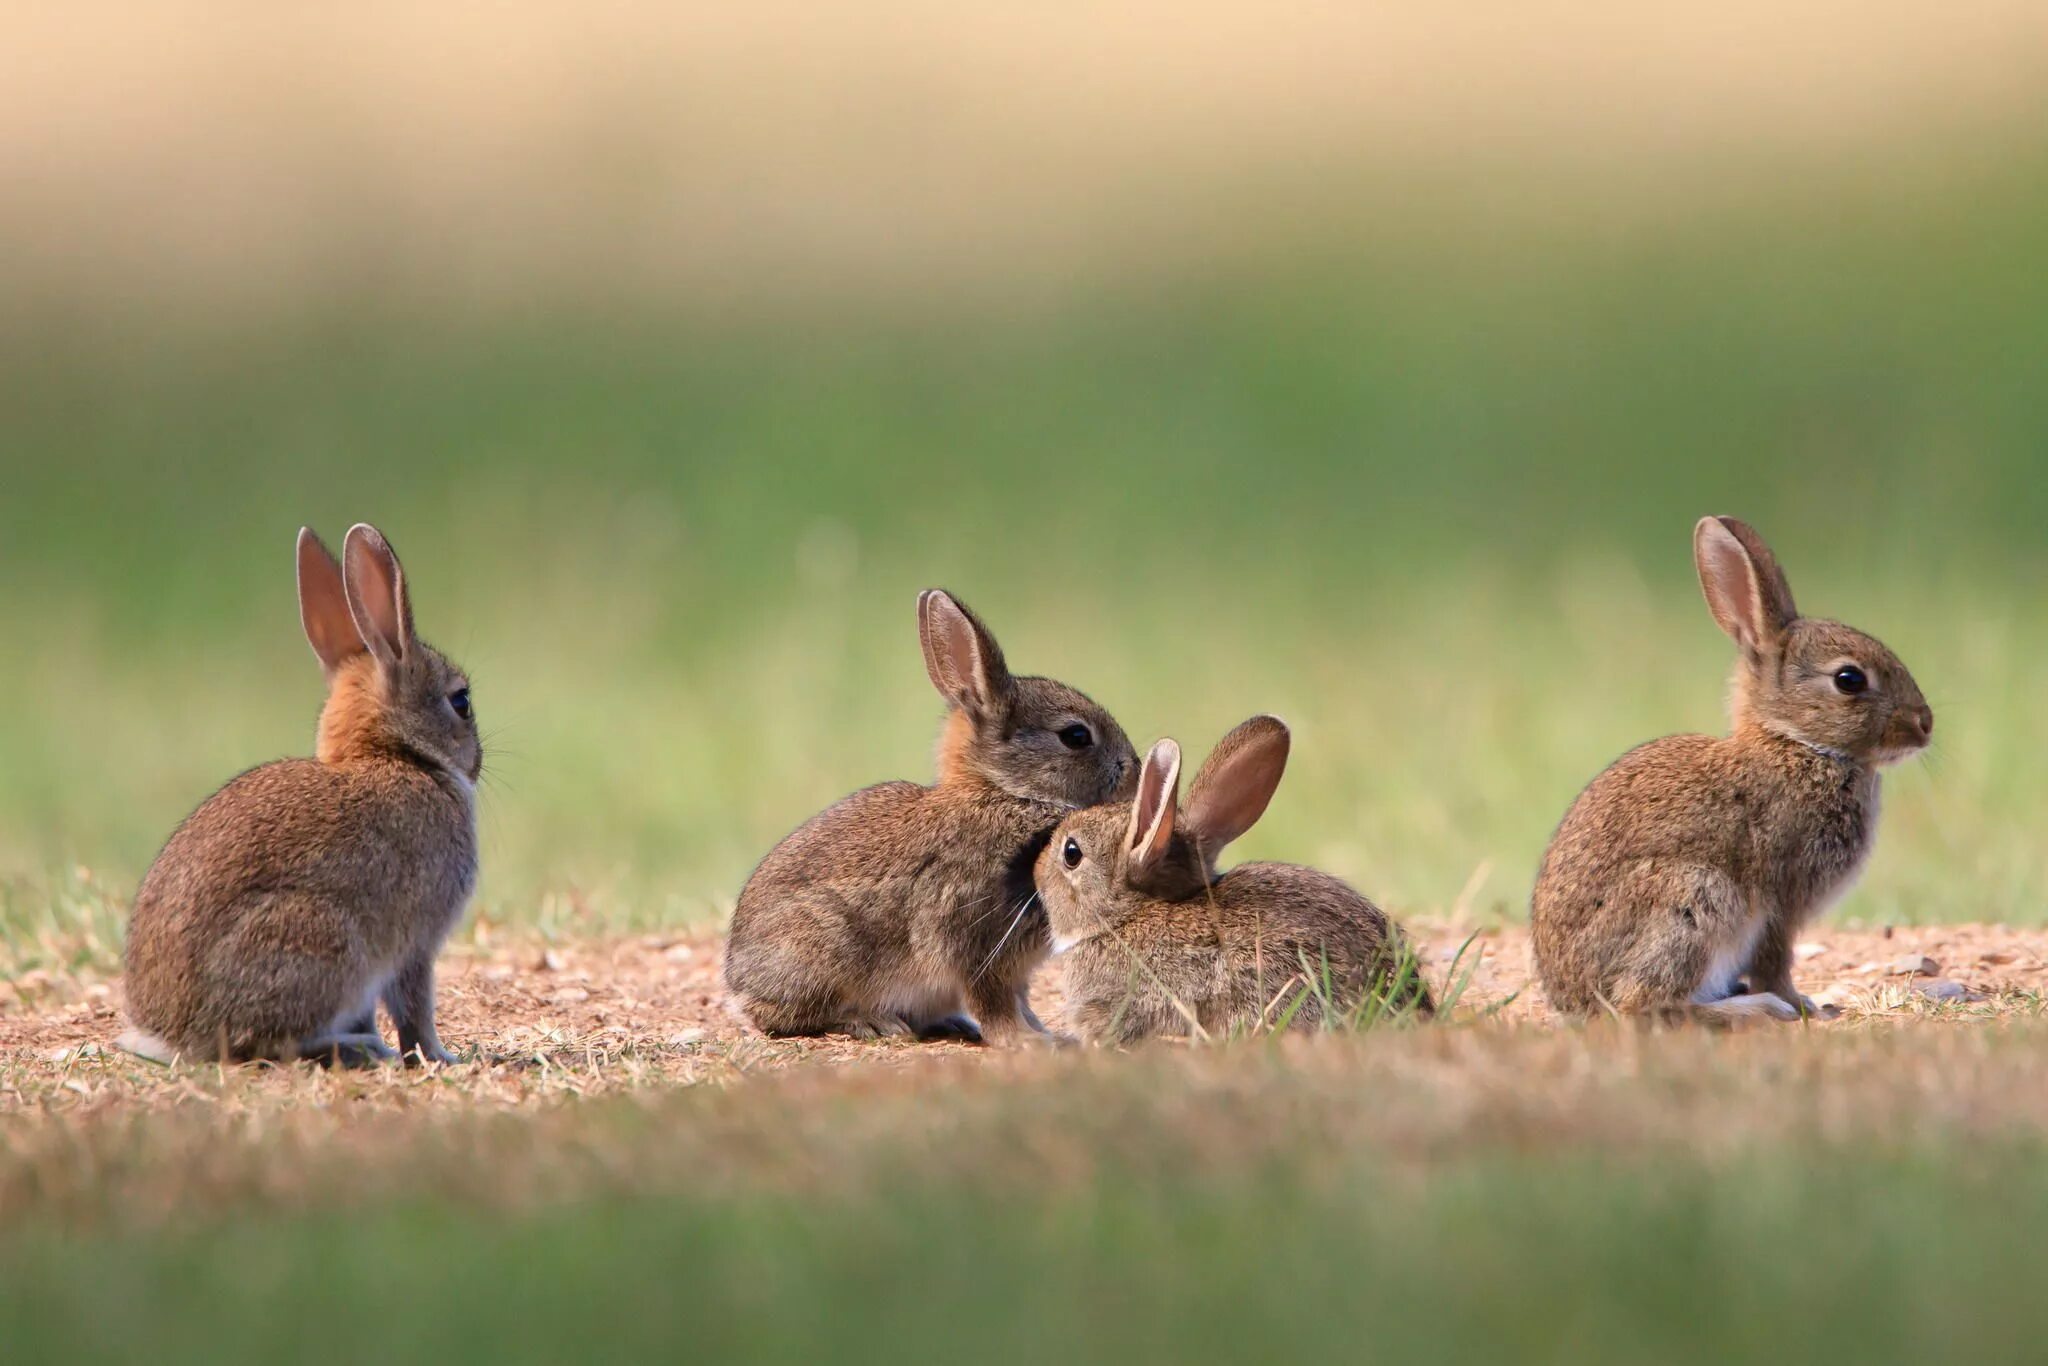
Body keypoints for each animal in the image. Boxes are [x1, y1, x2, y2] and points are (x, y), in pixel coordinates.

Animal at [120, 524, 483, 1064]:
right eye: (460, 701)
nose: (477, 762)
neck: (393, 755)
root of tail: (180, 1036)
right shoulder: (417, 942)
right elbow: (414, 1009)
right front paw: (439, 1056)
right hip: (323, 942)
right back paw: (359, 1048)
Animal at [724, 589, 1146, 1048]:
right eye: (1076, 736)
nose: (1134, 767)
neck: (1008, 793)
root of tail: (737, 980)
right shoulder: (974, 938)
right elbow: (993, 1000)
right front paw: (1025, 1041)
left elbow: (1019, 999)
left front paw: (1046, 1034)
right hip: (820, 947)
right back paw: (873, 1021)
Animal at [1540, 518, 1933, 1019]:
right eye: (1849, 680)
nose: (1925, 724)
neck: (1796, 742)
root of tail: (1573, 999)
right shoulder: (1780, 902)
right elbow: (1775, 961)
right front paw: (1805, 1006)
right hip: (1695, 898)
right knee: (1642, 1003)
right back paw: (1755, 1009)